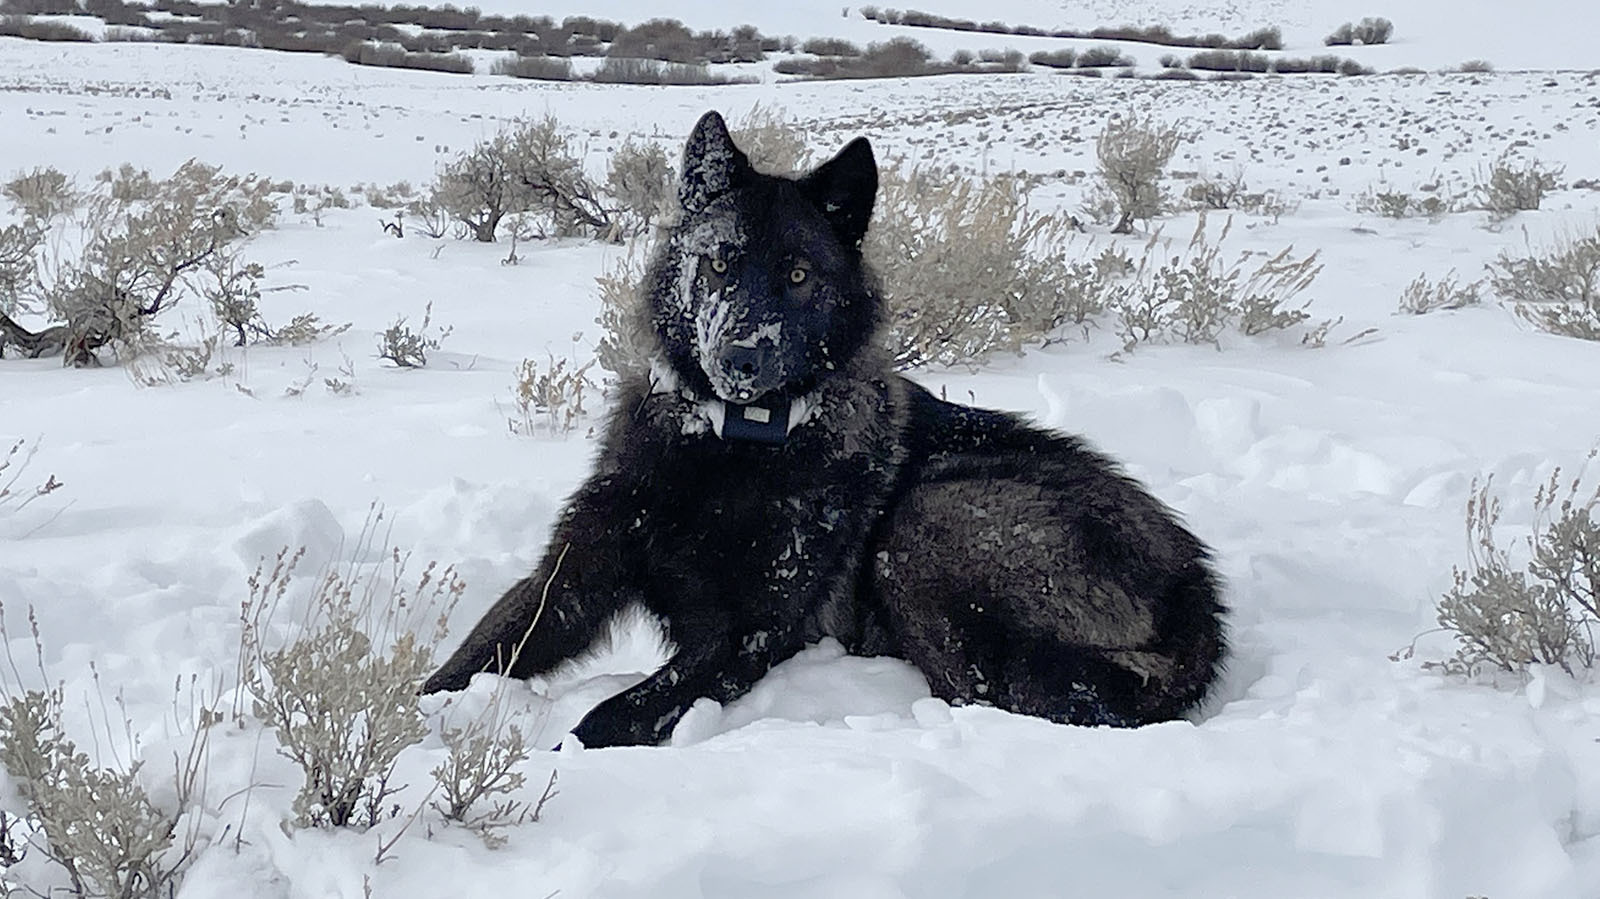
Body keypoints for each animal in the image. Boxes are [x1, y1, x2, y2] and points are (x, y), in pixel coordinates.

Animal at [423, 111, 1227, 747]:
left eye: (800, 275)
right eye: (720, 262)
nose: (740, 355)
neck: (732, 448)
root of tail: (1198, 599)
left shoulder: (748, 634)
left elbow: (608, 719)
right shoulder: (570, 580)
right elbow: (468, 660)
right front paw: (412, 727)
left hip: (929, 520)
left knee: (989, 689)